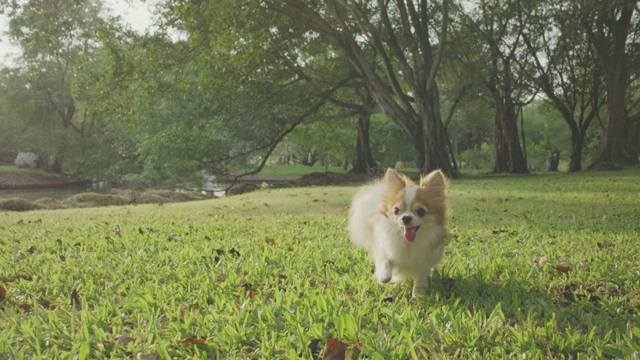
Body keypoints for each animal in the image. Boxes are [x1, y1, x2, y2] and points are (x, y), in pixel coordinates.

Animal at [348, 167, 448, 296]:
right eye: (396, 210)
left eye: (421, 211)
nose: (406, 218)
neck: (407, 243)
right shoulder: (383, 248)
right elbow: (385, 261)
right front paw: (384, 276)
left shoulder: (426, 261)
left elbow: (420, 278)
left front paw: (418, 294)